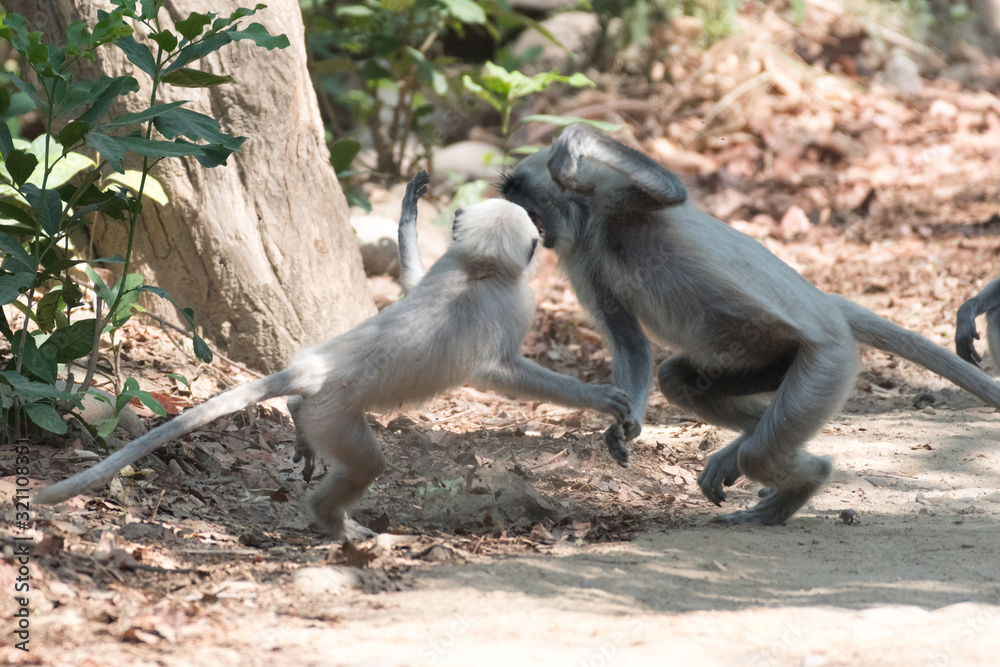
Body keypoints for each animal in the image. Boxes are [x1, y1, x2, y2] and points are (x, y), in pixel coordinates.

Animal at [34, 179, 631, 540]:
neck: (476, 269)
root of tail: (312, 369)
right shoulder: (512, 302)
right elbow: (499, 373)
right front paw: (604, 398)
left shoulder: (445, 268)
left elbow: (411, 280)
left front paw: (409, 212)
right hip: (337, 416)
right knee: (367, 464)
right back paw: (335, 524)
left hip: (323, 406)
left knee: (316, 426)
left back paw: (301, 437)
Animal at [500, 122, 1000, 526]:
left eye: (519, 192)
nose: (512, 212)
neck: (594, 225)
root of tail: (827, 306)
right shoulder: (583, 256)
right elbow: (630, 343)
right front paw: (625, 424)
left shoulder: (612, 198)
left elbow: (671, 192)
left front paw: (573, 142)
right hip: (770, 362)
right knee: (680, 380)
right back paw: (749, 458)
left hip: (826, 360)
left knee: (762, 447)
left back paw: (796, 479)